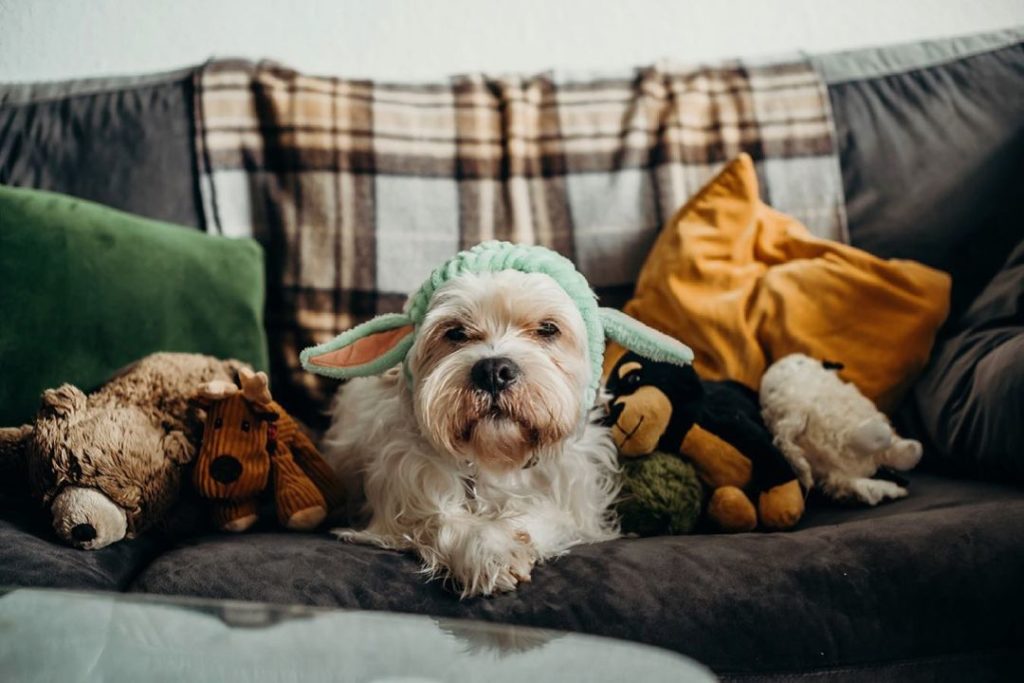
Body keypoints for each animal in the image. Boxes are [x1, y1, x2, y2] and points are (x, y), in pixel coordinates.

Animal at [299, 242, 692, 593]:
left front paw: (511, 535)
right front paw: (489, 549)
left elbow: (544, 513)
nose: (493, 371)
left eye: (547, 329)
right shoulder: (406, 494)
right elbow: (445, 520)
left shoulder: (574, 502)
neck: (499, 456)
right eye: (456, 332)